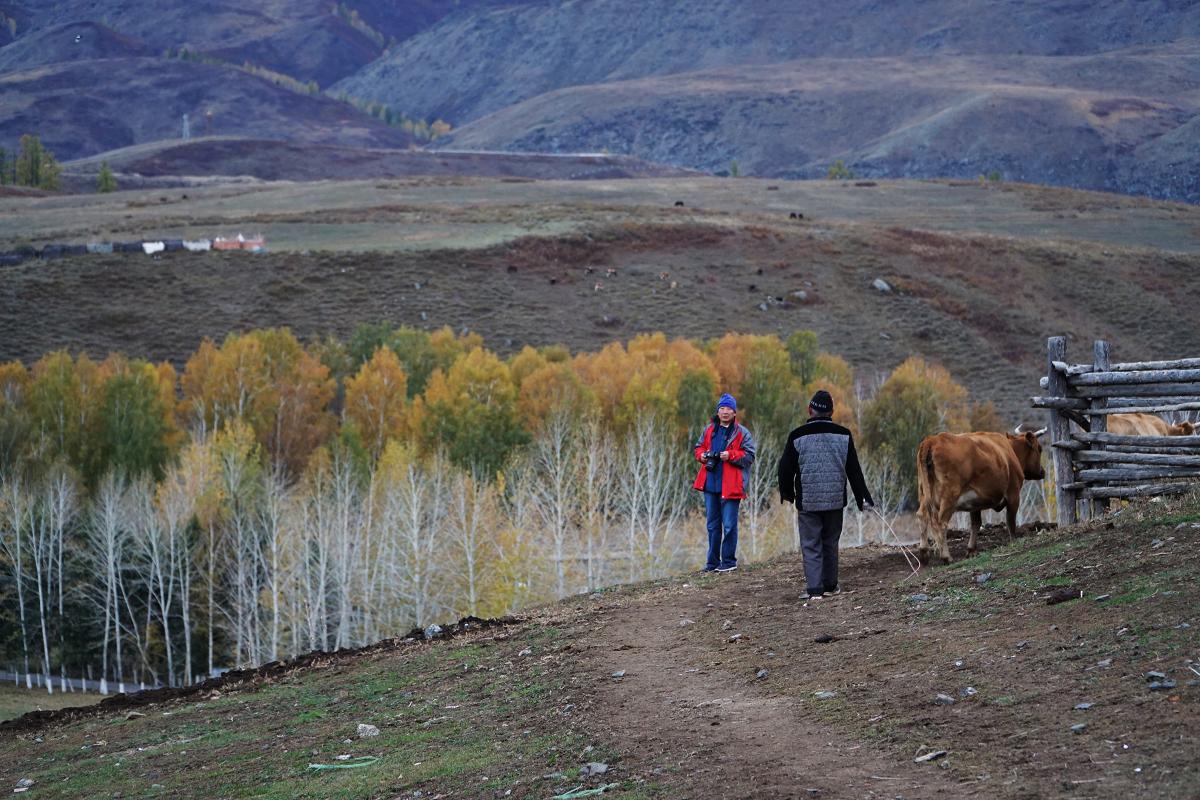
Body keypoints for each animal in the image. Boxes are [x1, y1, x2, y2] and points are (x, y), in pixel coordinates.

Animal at [912, 429, 1046, 566]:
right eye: (1039, 449)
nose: (1042, 472)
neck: (1009, 451)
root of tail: (932, 440)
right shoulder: (1013, 495)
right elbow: (1010, 521)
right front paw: (1013, 541)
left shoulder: (974, 503)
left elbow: (976, 524)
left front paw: (971, 550)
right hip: (949, 496)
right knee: (941, 523)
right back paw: (946, 557)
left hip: (924, 493)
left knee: (922, 516)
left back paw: (923, 553)